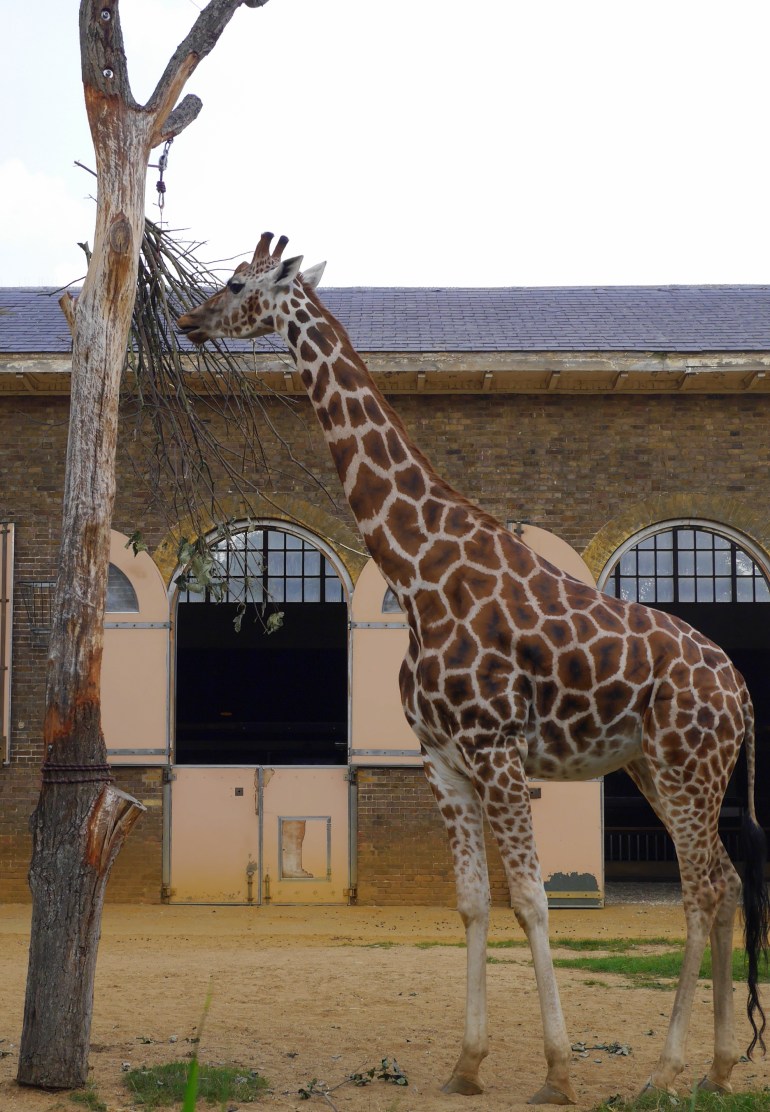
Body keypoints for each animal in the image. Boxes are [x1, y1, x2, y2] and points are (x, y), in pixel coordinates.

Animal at [178, 233, 770, 1104]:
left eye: (234, 284)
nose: (187, 321)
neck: (423, 570)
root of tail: (741, 690)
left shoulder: (496, 750)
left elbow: (531, 899)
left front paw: (558, 1071)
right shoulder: (442, 759)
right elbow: (471, 902)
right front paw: (467, 1063)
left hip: (689, 765)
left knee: (700, 886)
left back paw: (664, 1071)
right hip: (659, 769)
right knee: (723, 882)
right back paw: (721, 1066)